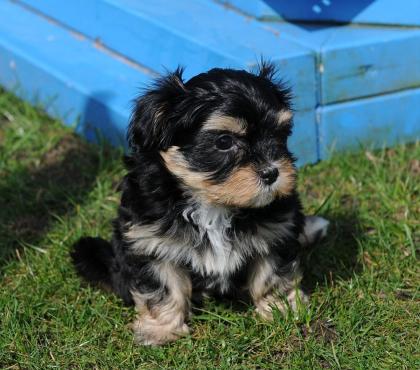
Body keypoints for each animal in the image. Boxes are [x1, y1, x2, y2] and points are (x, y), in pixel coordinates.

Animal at [71, 62, 328, 344]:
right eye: (224, 142)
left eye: (280, 134)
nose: (272, 173)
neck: (212, 203)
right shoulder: (149, 240)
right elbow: (162, 286)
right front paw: (161, 330)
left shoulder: (275, 230)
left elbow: (272, 274)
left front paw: (281, 308)